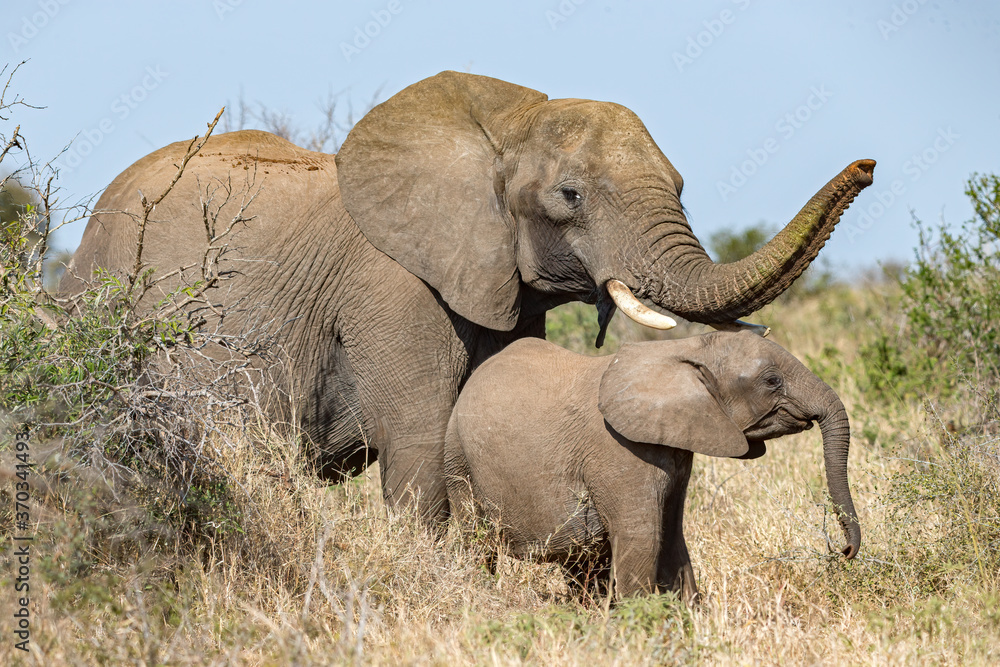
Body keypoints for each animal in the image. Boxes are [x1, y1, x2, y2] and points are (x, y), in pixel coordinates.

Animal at [59, 71, 875, 518]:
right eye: (570, 196)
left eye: (679, 185)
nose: (868, 165)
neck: (501, 122)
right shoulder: (395, 285)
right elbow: (422, 438)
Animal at [444, 332, 860, 601]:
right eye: (772, 381)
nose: (844, 551)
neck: (682, 349)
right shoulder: (618, 450)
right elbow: (642, 536)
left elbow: (671, 534)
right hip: (458, 458)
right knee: (474, 541)